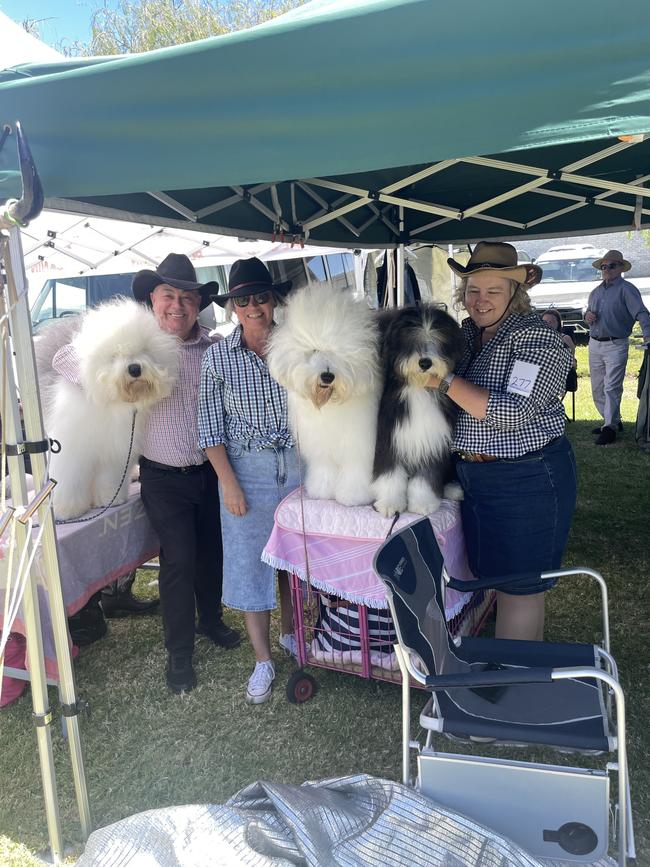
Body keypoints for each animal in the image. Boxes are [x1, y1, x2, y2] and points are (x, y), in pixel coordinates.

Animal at [35, 298, 177, 520]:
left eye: (144, 350)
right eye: (114, 355)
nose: (134, 369)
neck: (110, 403)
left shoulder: (116, 449)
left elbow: (110, 477)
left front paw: (111, 499)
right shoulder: (71, 449)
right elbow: (68, 479)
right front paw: (67, 510)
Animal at [268, 284, 380, 508]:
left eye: (338, 352)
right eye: (314, 350)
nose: (327, 376)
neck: (328, 407)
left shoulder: (359, 446)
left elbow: (355, 471)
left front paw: (353, 496)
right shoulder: (321, 446)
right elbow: (324, 469)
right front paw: (322, 491)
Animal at [372, 306, 464, 516]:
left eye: (437, 340)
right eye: (410, 339)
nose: (425, 363)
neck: (419, 388)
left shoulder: (432, 443)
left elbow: (425, 478)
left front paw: (423, 504)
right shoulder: (390, 440)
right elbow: (390, 476)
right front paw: (389, 504)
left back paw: (453, 489)